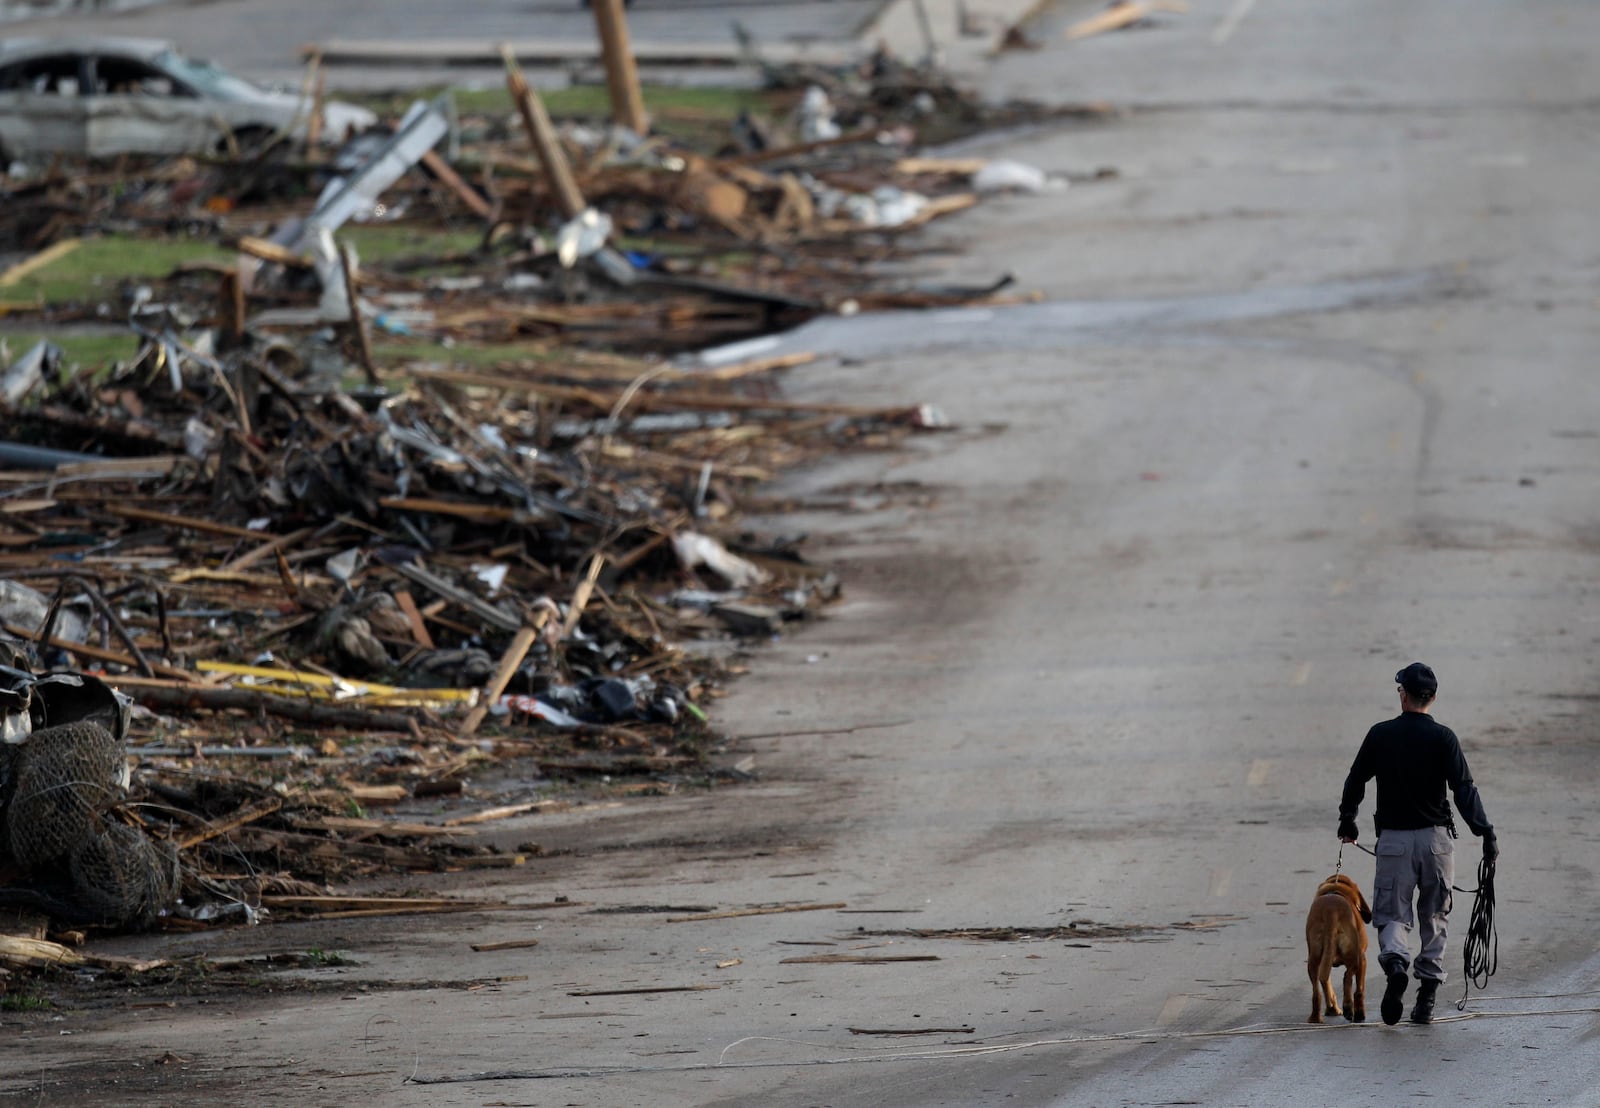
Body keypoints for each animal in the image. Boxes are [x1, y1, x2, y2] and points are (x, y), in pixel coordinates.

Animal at [1305, 877, 1369, 1018]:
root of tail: (1331, 911)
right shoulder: (1363, 958)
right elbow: (1360, 988)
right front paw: (1360, 1013)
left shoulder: (1325, 960)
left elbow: (1327, 985)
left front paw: (1332, 1008)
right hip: (1354, 957)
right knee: (1347, 977)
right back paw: (1348, 1008)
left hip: (1314, 960)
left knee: (1316, 990)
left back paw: (1316, 1017)